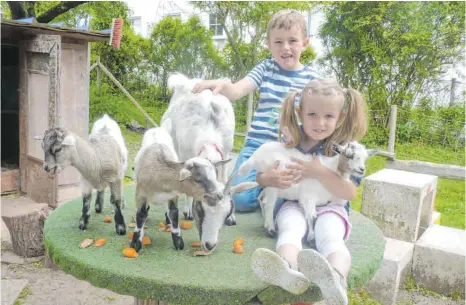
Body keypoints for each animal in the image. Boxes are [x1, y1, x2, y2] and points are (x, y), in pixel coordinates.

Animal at [238, 140, 376, 240]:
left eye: (365, 158)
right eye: (349, 155)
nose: (362, 169)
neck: (330, 170)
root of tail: (255, 156)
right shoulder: (308, 197)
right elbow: (312, 217)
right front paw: (311, 238)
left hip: (268, 183)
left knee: (261, 198)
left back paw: (266, 224)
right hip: (274, 180)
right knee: (268, 203)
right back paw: (271, 230)